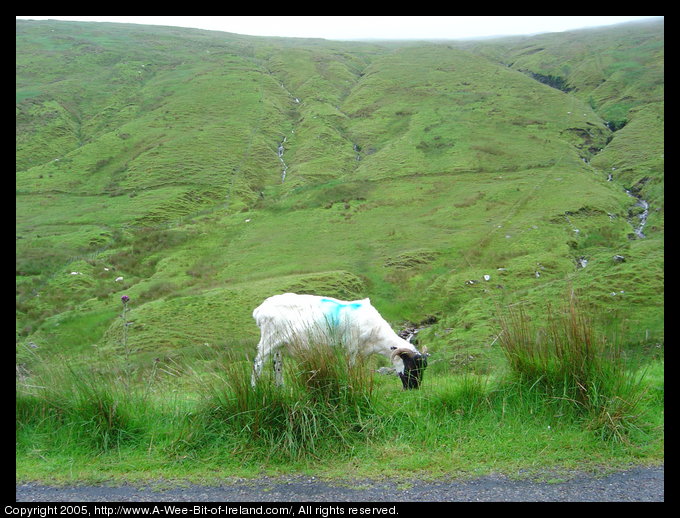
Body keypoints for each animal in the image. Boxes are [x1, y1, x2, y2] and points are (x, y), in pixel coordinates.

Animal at [250, 294, 430, 392]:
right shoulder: (351, 348)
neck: (376, 334)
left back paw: (280, 388)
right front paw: (351, 387)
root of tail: (260, 310)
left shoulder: (362, 353)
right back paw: (254, 388)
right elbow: (350, 370)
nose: (413, 389)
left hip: (278, 344)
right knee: (258, 363)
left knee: (277, 365)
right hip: (268, 339)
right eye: (411, 367)